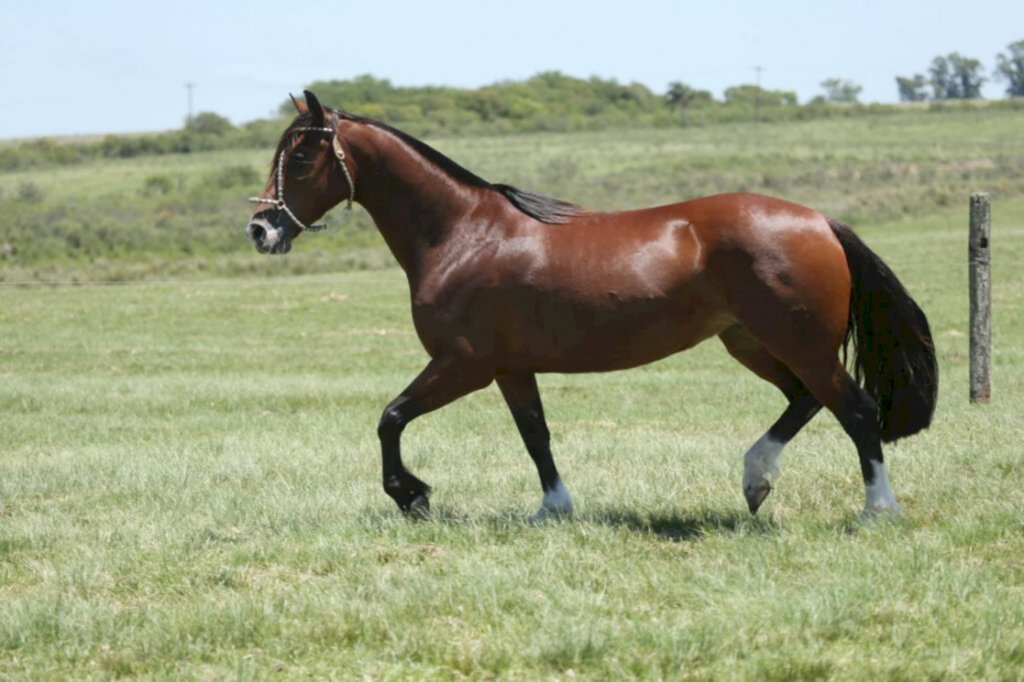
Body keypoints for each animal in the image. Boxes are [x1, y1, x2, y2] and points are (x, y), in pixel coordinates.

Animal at [245, 89, 937, 516]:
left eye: (301, 155)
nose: (261, 230)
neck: (463, 234)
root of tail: (821, 221)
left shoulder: (463, 364)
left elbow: (390, 418)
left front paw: (411, 496)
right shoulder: (510, 368)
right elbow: (535, 435)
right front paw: (554, 508)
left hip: (797, 342)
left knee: (855, 410)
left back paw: (877, 510)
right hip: (752, 341)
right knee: (806, 401)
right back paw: (755, 479)